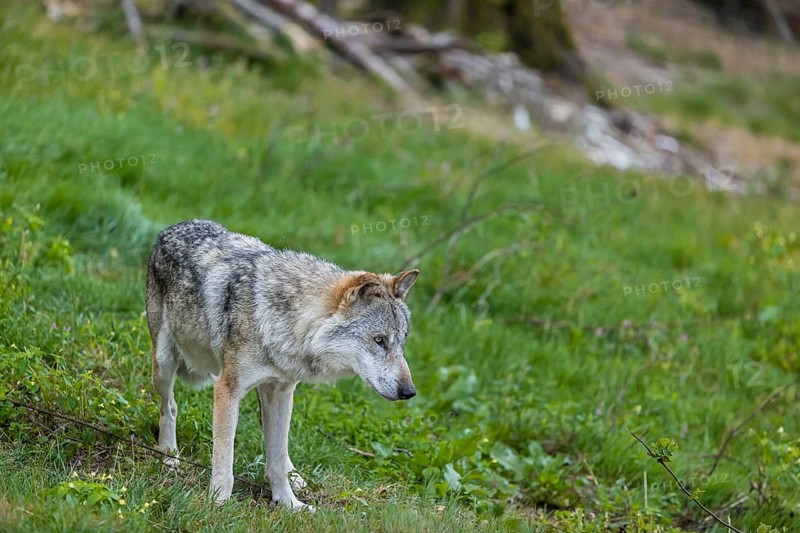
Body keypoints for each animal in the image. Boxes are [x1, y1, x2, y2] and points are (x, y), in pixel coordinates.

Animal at [145, 220, 419, 510]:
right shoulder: (227, 389)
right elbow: (224, 459)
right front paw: (217, 503)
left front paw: (289, 504)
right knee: (169, 406)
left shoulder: (282, 390)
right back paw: (169, 454)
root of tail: (174, 227)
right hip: (163, 365)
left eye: (402, 342)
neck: (280, 320)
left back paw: (295, 476)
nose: (409, 392)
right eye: (379, 340)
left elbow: (276, 458)